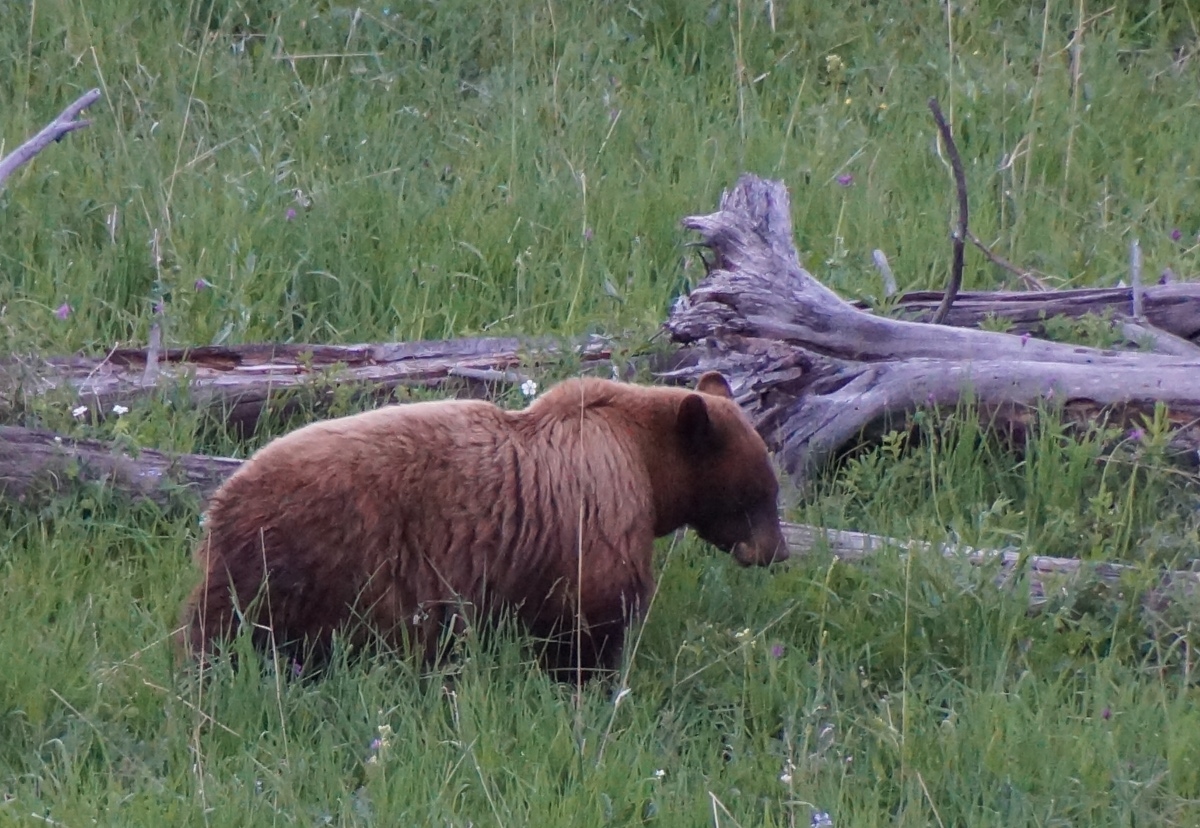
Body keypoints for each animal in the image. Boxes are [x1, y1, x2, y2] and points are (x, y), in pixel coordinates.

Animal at [177, 369, 787, 676]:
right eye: (759, 495)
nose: (775, 552)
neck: (640, 455)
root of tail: (221, 504)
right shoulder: (594, 519)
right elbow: (589, 620)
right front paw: (588, 682)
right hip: (307, 565)